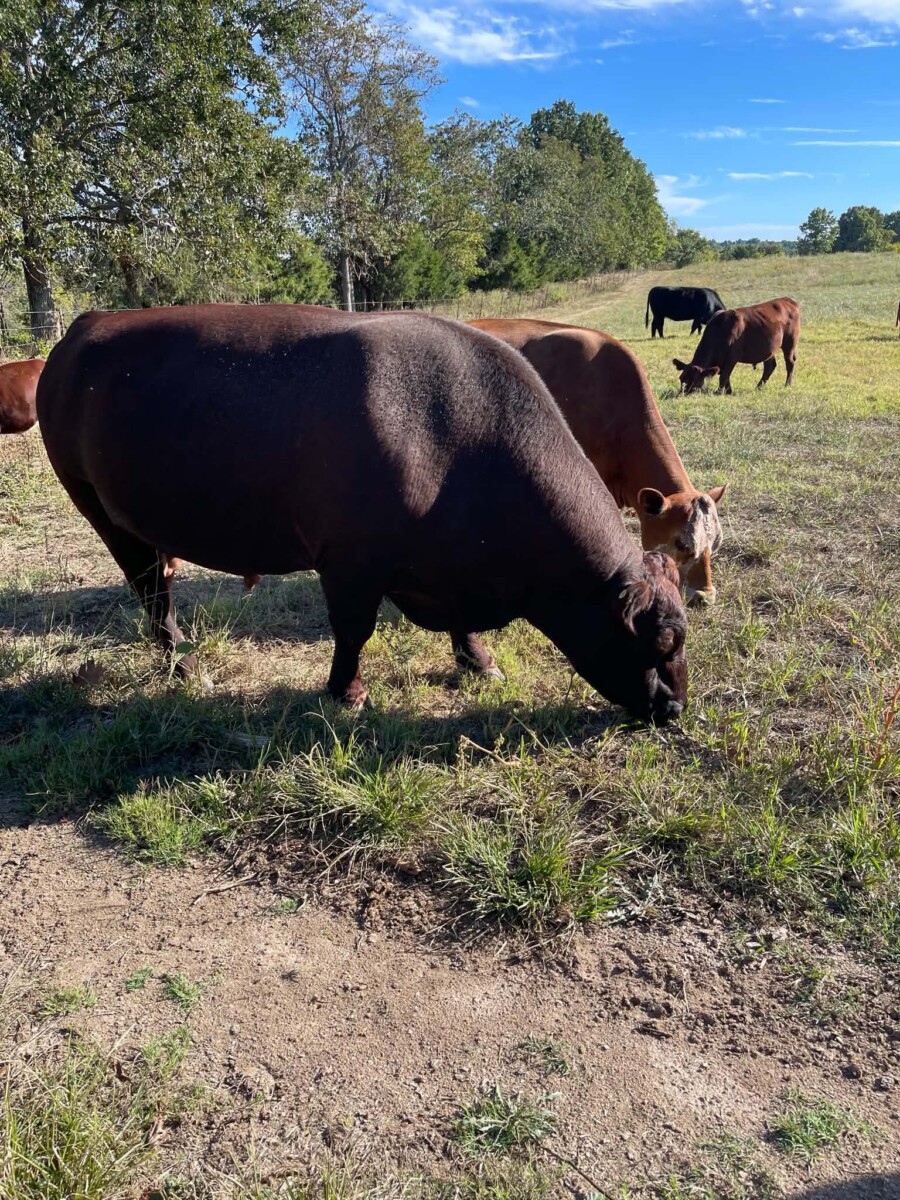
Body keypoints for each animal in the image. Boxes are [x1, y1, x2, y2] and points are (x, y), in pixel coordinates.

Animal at [37, 305, 689, 724]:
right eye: (660, 641)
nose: (677, 706)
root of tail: (87, 325)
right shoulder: (350, 563)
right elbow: (353, 632)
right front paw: (347, 693)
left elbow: (461, 626)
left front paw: (479, 662)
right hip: (99, 509)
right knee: (152, 593)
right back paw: (183, 665)